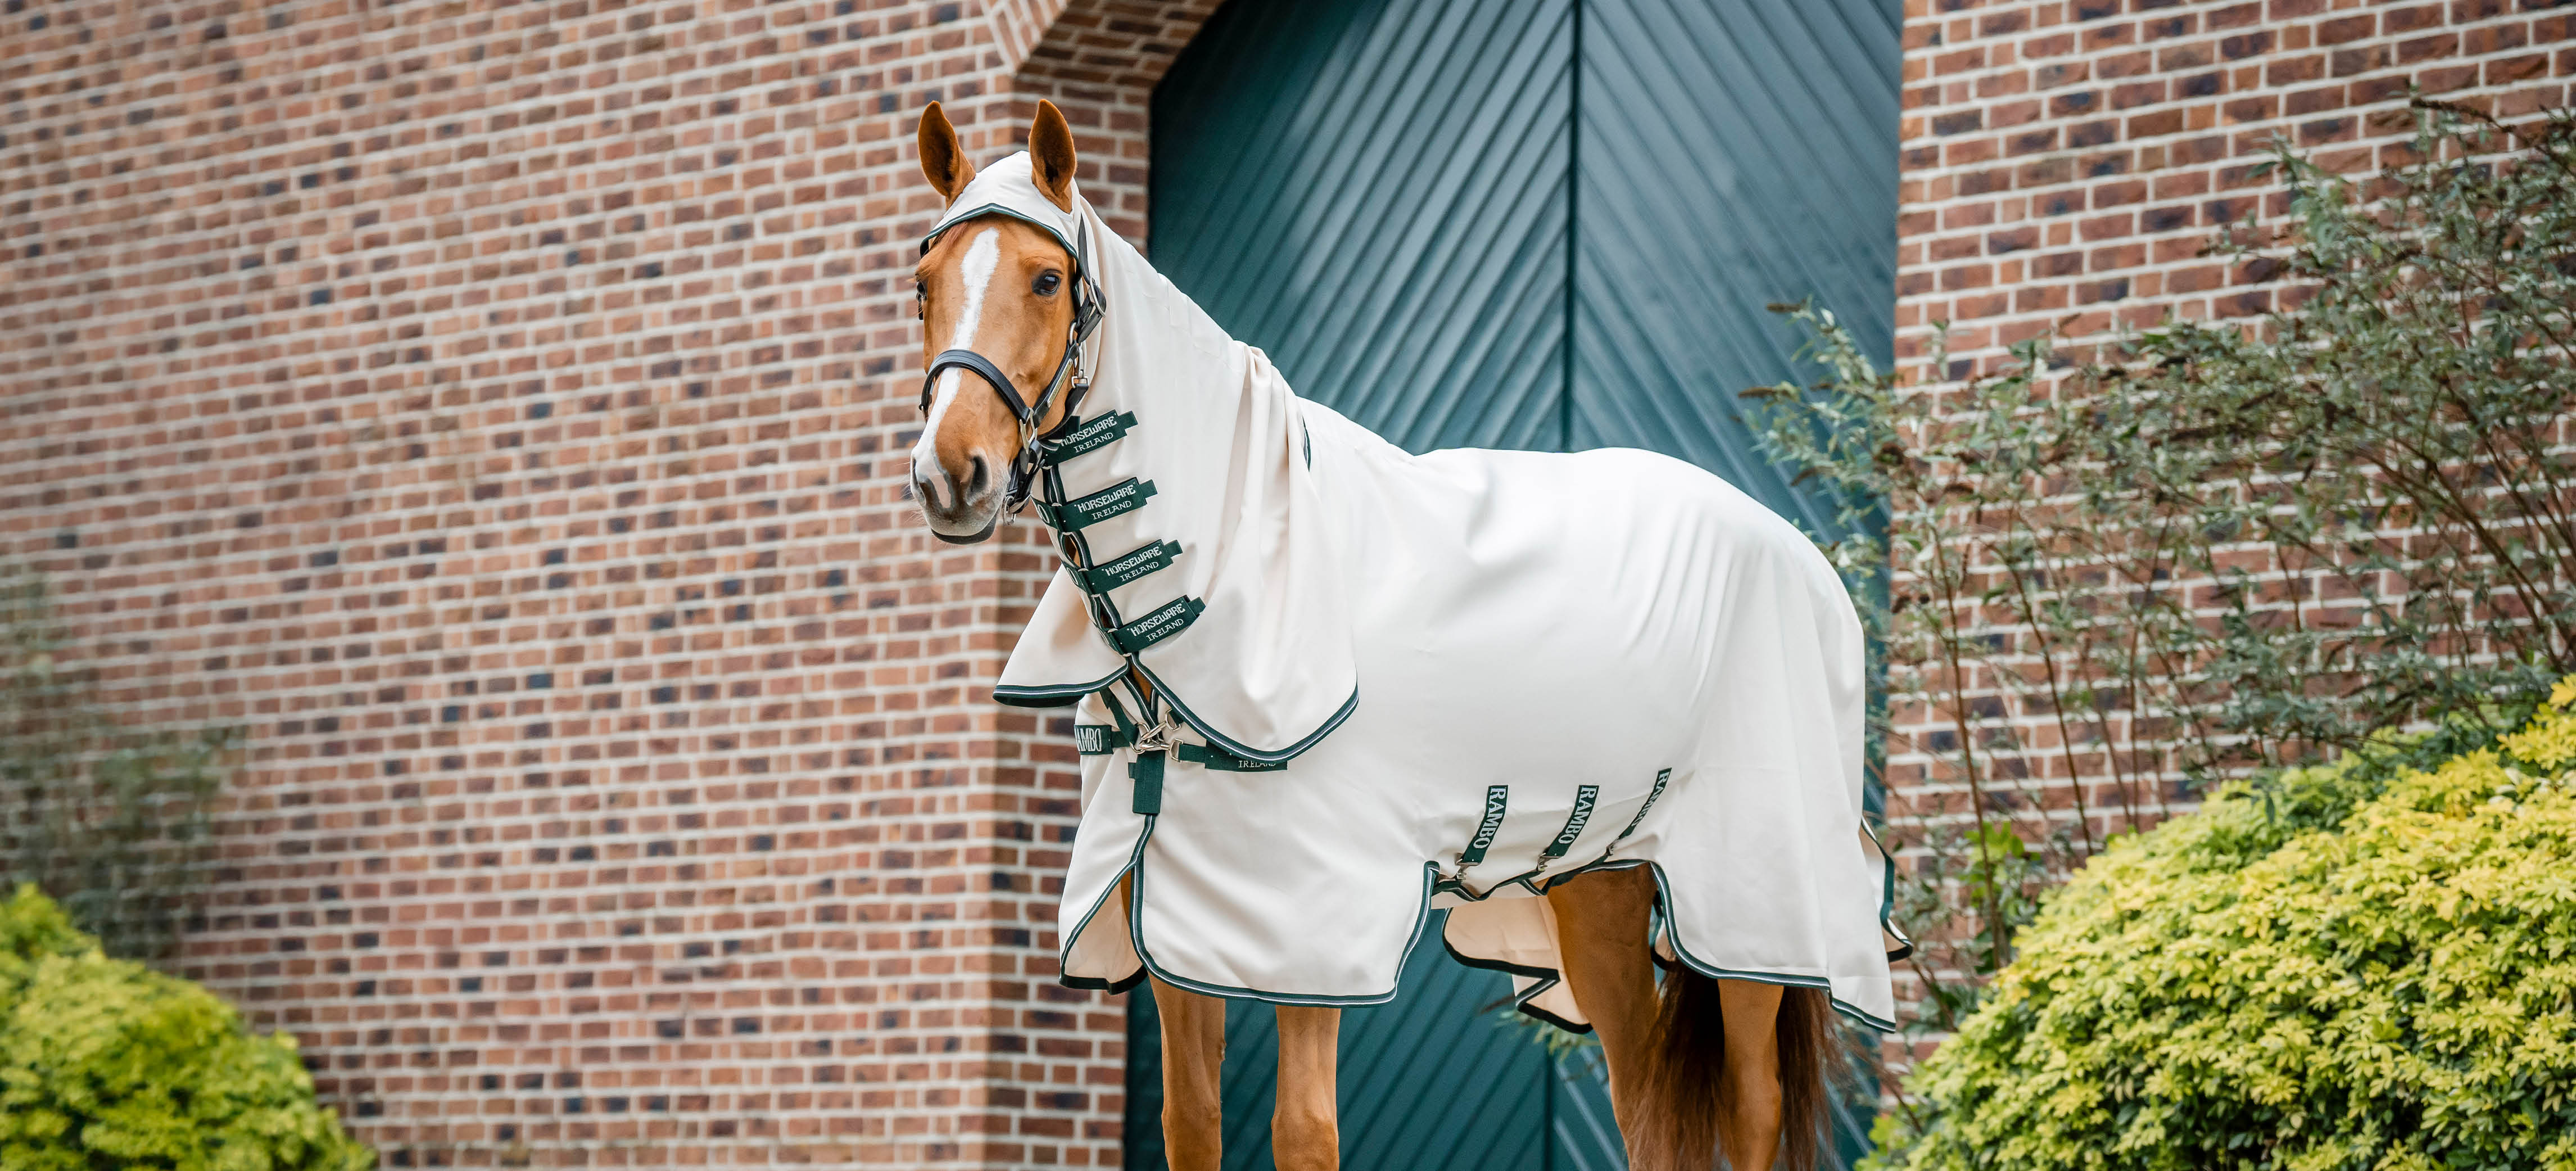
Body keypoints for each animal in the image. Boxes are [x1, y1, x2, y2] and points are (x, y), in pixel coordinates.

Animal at [904, 99, 1906, 1171]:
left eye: (1046, 278)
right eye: (922, 285)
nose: (949, 476)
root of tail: (1802, 558)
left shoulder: (1308, 926)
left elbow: (1302, 1131)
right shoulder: (1178, 914)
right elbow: (1190, 1121)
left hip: (1758, 913)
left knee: (1754, 1104)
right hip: (1600, 882)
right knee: (1640, 1098)